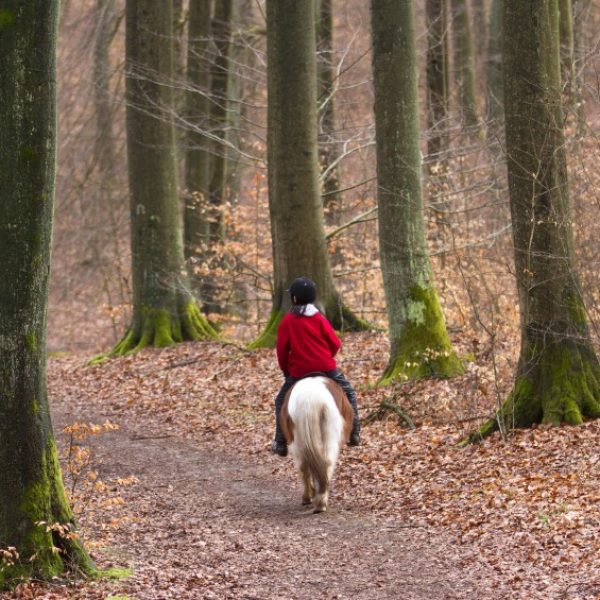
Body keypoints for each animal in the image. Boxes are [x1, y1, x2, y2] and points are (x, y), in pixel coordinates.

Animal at [278, 376, 354, 510]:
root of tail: (310, 400)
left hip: (299, 442)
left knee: (307, 465)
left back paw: (313, 499)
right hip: (327, 437)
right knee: (324, 463)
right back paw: (318, 500)